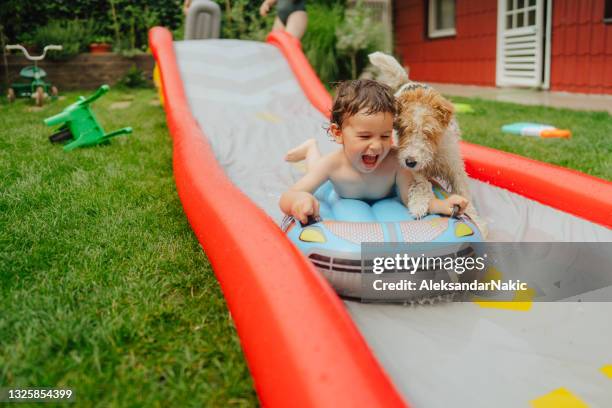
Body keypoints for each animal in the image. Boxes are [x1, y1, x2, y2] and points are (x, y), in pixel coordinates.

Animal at [368, 51, 488, 236]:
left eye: (428, 132)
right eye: (403, 129)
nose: (410, 161)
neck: (434, 154)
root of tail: (408, 82)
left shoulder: (454, 167)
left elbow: (463, 193)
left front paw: (479, 224)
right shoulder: (411, 164)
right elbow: (422, 183)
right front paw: (418, 204)